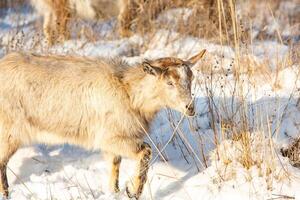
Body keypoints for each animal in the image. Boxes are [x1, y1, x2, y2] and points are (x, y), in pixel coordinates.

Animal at [0, 49, 205, 198]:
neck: (129, 92)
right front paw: (133, 191)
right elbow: (146, 151)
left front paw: (115, 192)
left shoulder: (116, 139)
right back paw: (6, 193)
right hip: (9, 130)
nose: (190, 108)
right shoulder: (109, 136)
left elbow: (115, 163)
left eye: (191, 79)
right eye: (169, 82)